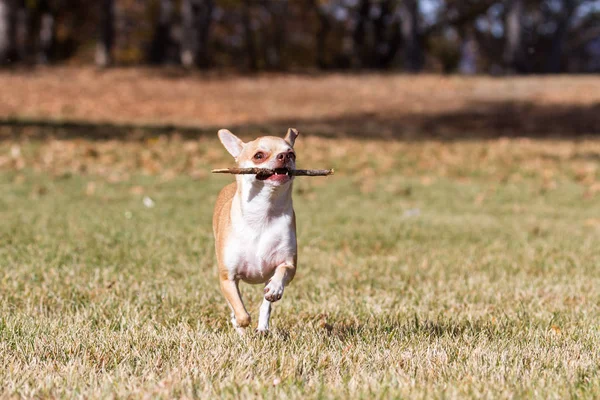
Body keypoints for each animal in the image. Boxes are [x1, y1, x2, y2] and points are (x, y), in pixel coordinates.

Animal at [213, 129, 300, 334]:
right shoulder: (227, 278)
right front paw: (239, 322)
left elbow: (282, 272)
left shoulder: (289, 264)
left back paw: (263, 326)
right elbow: (241, 313)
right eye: (259, 156)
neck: (263, 213)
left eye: (292, 154)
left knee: (265, 305)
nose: (284, 156)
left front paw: (275, 289)